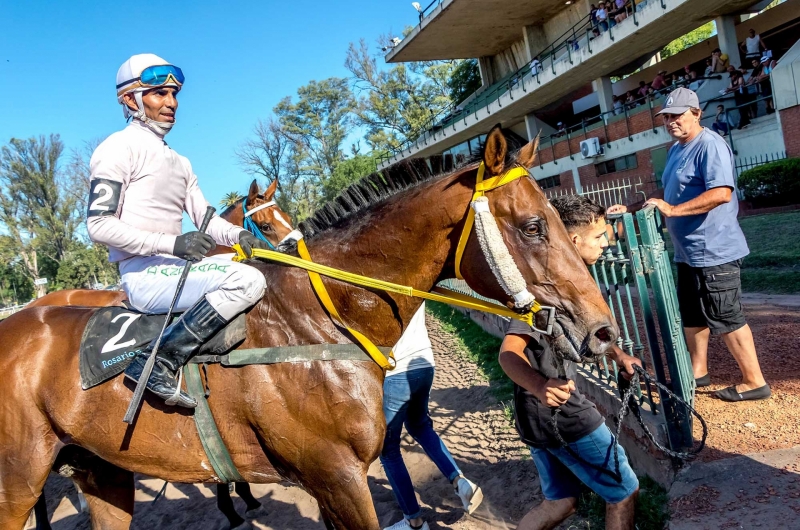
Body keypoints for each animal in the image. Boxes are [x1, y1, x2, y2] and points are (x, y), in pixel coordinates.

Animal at [0, 125, 620, 528]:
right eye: (535, 225)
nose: (603, 332)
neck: (320, 324)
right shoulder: (339, 477)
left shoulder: (326, 483)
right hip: (18, 483)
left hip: (101, 470)